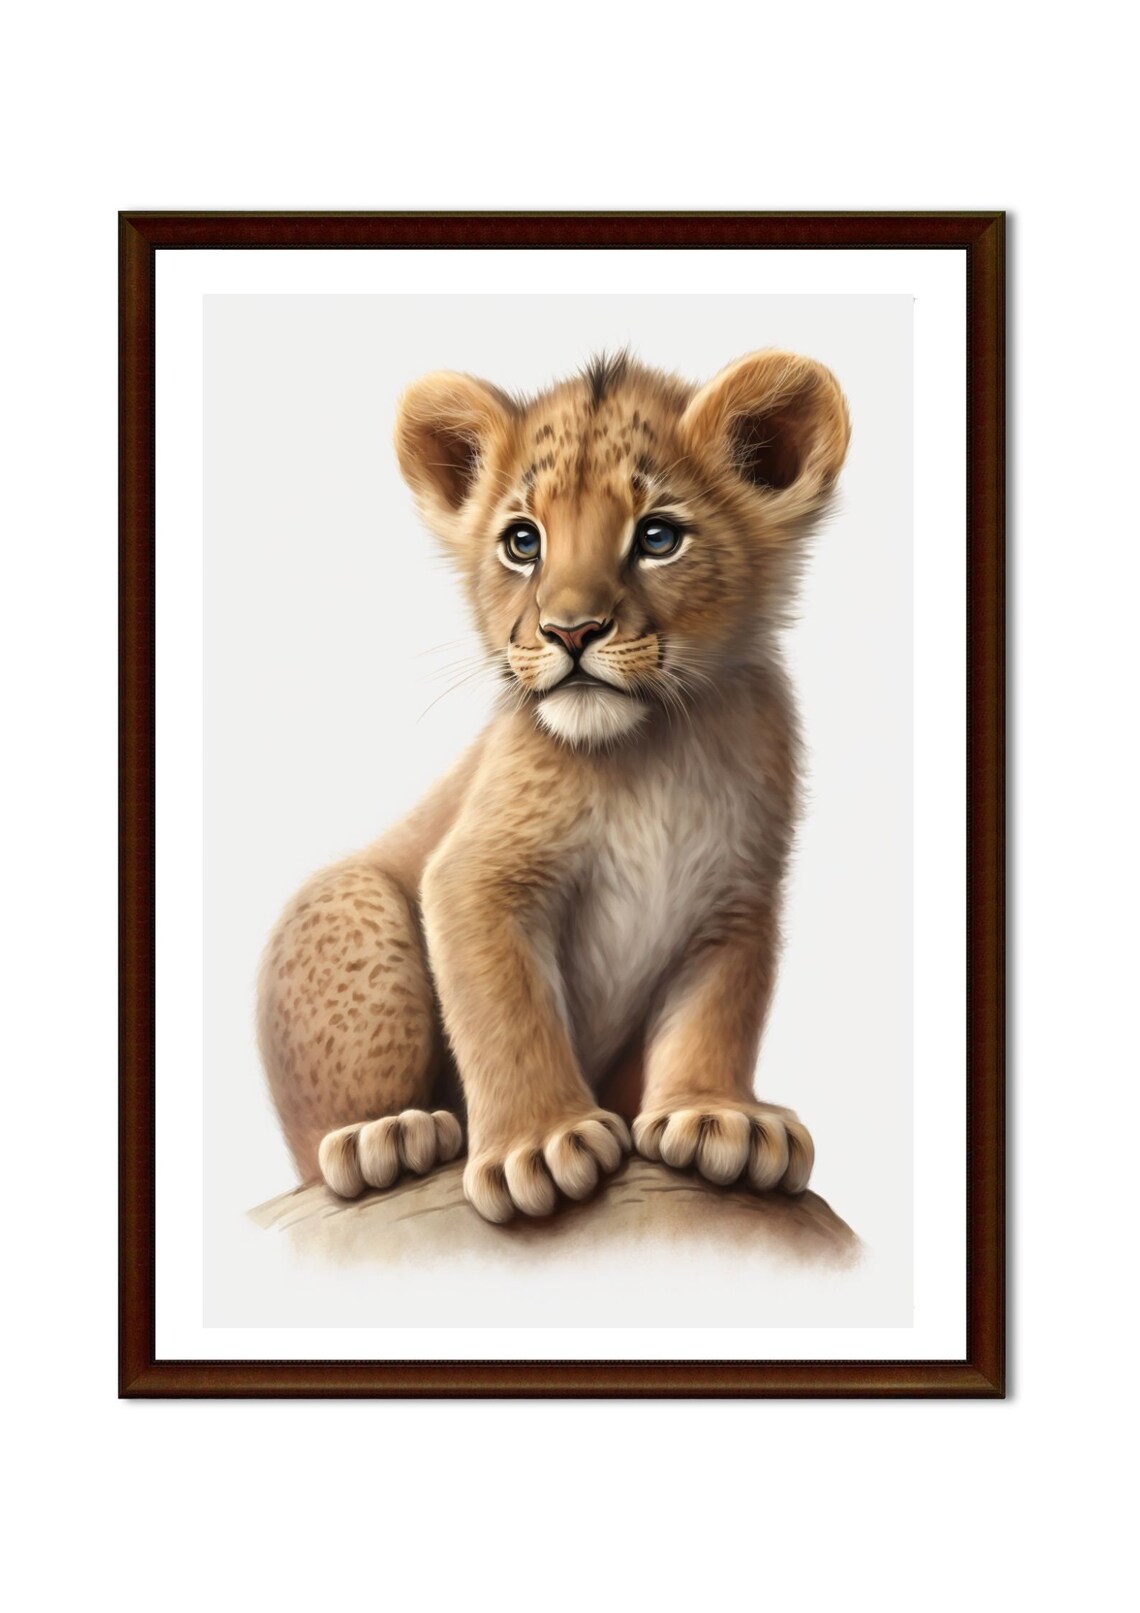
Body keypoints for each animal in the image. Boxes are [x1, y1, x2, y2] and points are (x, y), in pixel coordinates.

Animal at [257, 348, 851, 1223]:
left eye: (658, 537)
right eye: (522, 541)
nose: (571, 631)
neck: (649, 754)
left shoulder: (736, 900)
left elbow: (717, 1014)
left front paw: (717, 1115)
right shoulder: (474, 874)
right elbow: (509, 1012)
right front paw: (536, 1145)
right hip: (348, 900)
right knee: (318, 1149)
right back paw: (384, 1137)